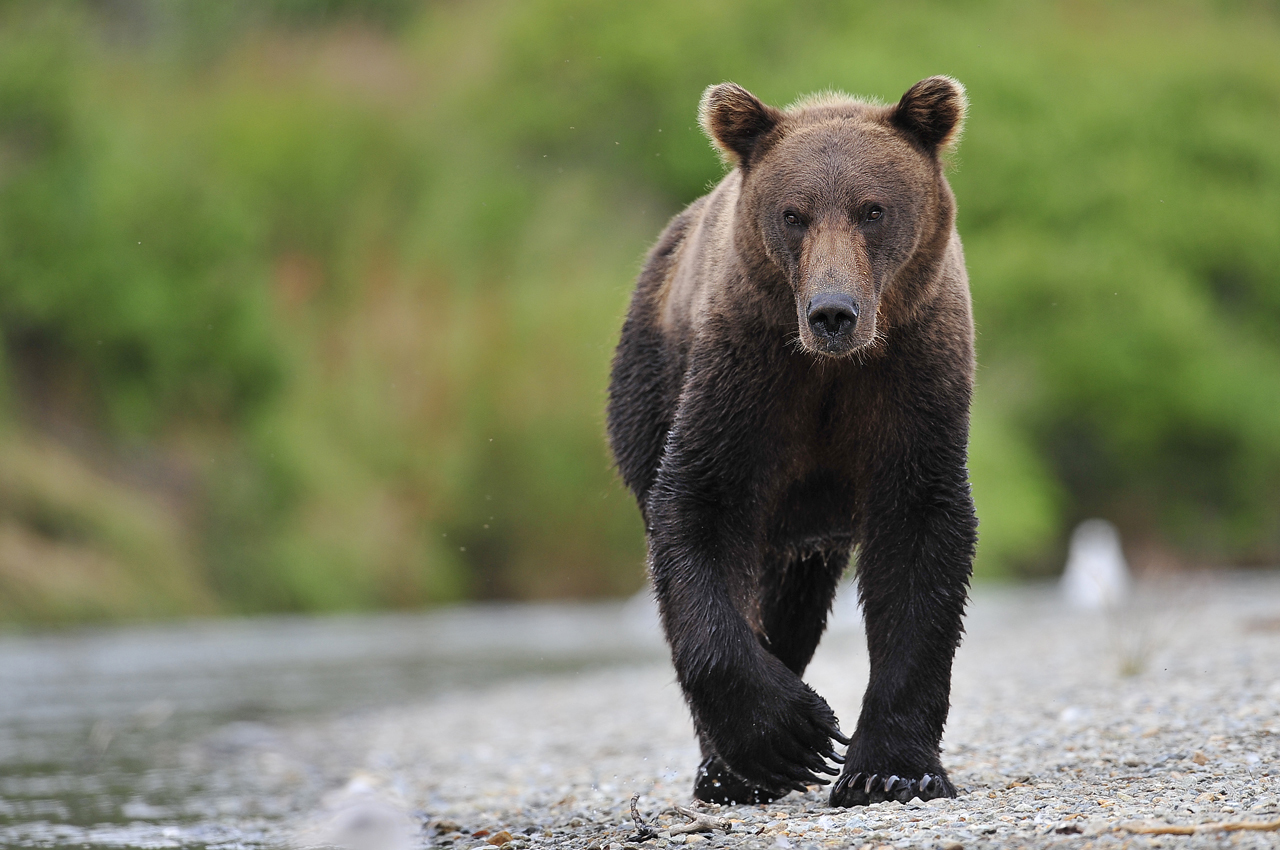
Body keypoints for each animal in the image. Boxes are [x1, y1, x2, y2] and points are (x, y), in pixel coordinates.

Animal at [604, 76, 972, 809]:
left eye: (872, 210)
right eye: (794, 214)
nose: (833, 312)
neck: (832, 369)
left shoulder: (915, 374)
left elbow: (921, 536)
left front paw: (890, 769)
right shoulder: (746, 374)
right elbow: (700, 507)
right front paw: (789, 735)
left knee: (793, 600)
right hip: (648, 383)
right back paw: (726, 769)